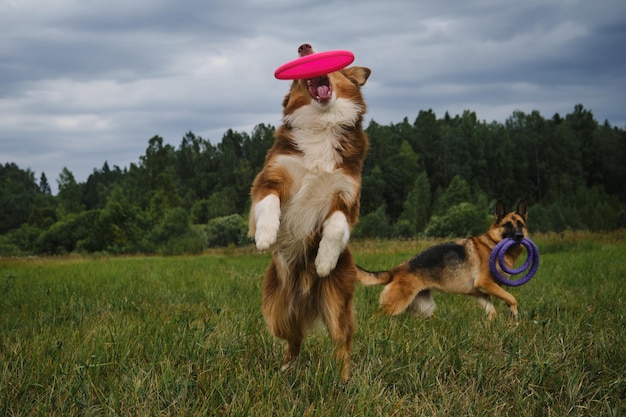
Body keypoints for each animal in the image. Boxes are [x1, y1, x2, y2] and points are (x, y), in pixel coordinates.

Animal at [246, 43, 368, 380]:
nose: (304, 47)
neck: (321, 125)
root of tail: (305, 297)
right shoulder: (270, 179)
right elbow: (269, 203)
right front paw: (266, 235)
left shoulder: (346, 196)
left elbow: (336, 227)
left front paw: (324, 260)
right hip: (277, 309)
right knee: (294, 339)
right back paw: (286, 370)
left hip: (337, 302)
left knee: (341, 344)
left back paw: (344, 380)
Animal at [356, 200, 528, 320]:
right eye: (508, 225)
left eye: (520, 224)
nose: (519, 236)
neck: (492, 244)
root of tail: (396, 270)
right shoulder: (485, 284)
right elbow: (512, 298)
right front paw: (514, 314)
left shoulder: (482, 293)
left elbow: (492, 312)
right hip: (395, 306)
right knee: (375, 318)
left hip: (425, 308)